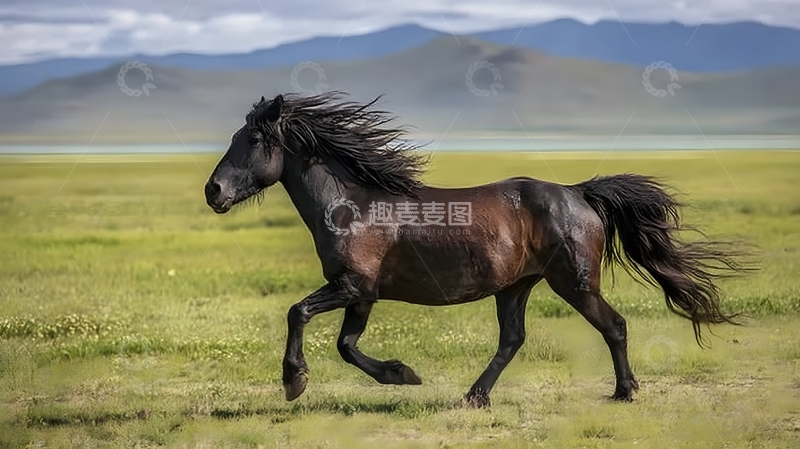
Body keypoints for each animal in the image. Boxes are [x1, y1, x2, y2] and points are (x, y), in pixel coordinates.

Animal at [204, 92, 744, 407]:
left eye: (255, 138)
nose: (213, 191)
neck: (353, 204)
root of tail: (578, 193)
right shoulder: (362, 293)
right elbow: (347, 345)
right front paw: (403, 374)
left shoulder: (349, 285)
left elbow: (298, 313)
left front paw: (294, 381)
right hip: (516, 286)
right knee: (512, 340)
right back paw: (474, 396)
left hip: (573, 283)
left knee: (614, 326)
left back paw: (624, 392)